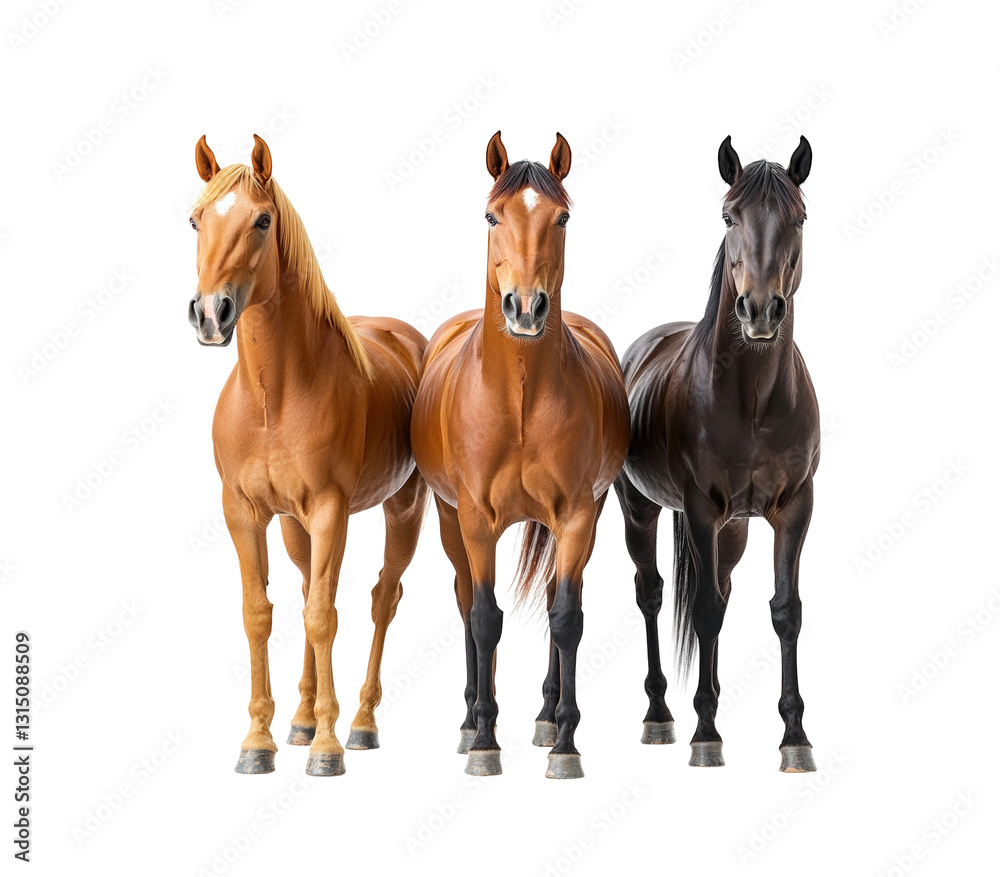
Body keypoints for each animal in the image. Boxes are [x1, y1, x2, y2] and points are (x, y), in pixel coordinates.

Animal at [187, 135, 429, 776]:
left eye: (262, 220)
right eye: (196, 220)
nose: (211, 314)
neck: (274, 397)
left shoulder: (328, 510)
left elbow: (324, 615)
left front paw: (328, 746)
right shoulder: (245, 513)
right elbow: (261, 613)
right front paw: (259, 741)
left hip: (403, 511)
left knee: (381, 599)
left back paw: (361, 723)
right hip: (295, 527)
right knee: (304, 594)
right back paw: (299, 718)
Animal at [411, 132, 631, 779]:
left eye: (562, 217)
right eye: (491, 215)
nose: (526, 309)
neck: (520, 402)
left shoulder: (578, 516)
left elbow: (566, 618)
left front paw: (565, 742)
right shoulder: (476, 520)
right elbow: (485, 619)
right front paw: (485, 741)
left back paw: (547, 715)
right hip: (448, 519)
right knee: (465, 602)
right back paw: (469, 722)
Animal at [613, 136, 820, 772]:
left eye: (799, 217)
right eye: (729, 216)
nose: (759, 310)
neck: (753, 399)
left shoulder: (793, 510)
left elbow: (785, 610)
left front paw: (795, 736)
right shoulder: (702, 509)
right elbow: (701, 609)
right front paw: (705, 733)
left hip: (735, 529)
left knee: (722, 597)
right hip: (641, 513)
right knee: (653, 595)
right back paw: (661, 714)